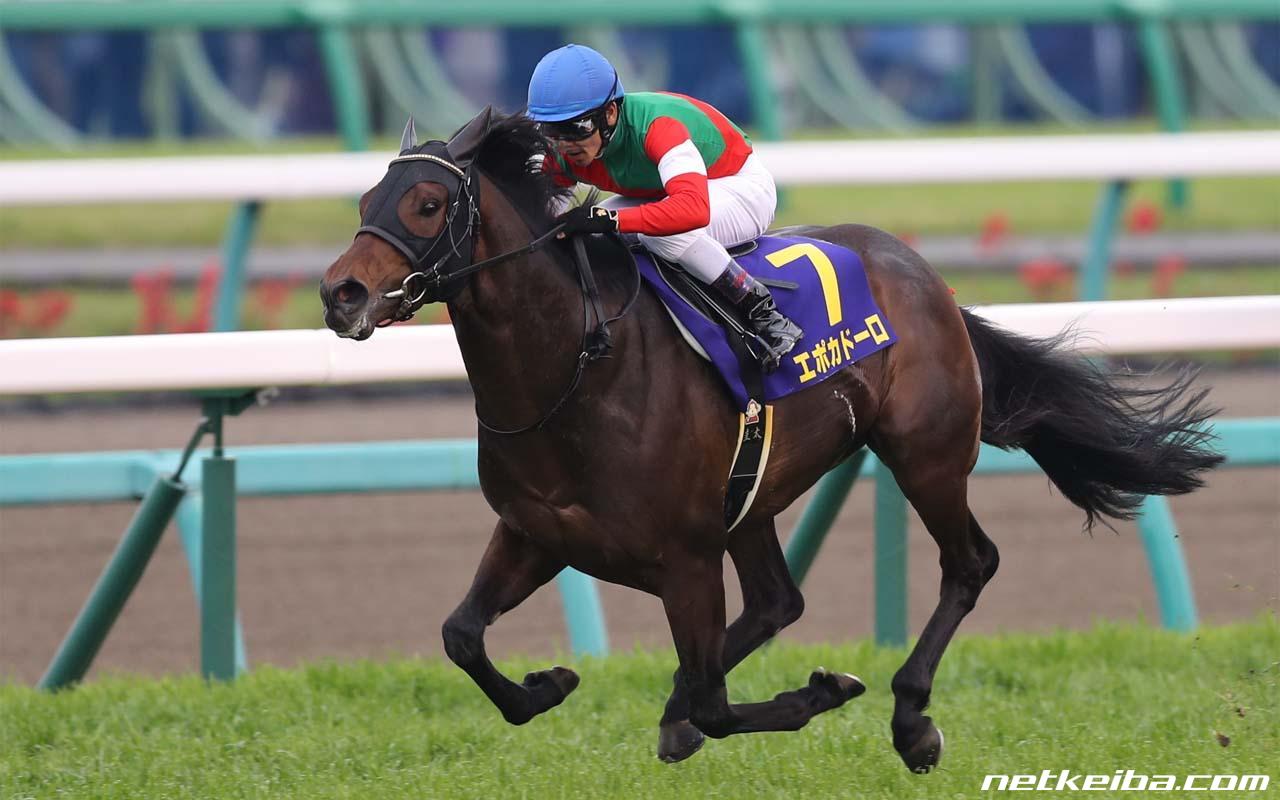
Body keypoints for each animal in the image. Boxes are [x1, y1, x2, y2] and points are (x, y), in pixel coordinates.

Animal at [319, 108, 1222, 771]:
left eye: (427, 205)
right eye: (364, 203)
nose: (341, 293)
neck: (574, 370)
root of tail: (923, 272)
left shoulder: (684, 558)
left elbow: (719, 705)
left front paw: (824, 691)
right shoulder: (535, 532)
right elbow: (462, 637)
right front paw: (549, 683)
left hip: (925, 454)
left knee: (969, 564)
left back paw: (911, 720)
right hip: (751, 496)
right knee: (775, 602)